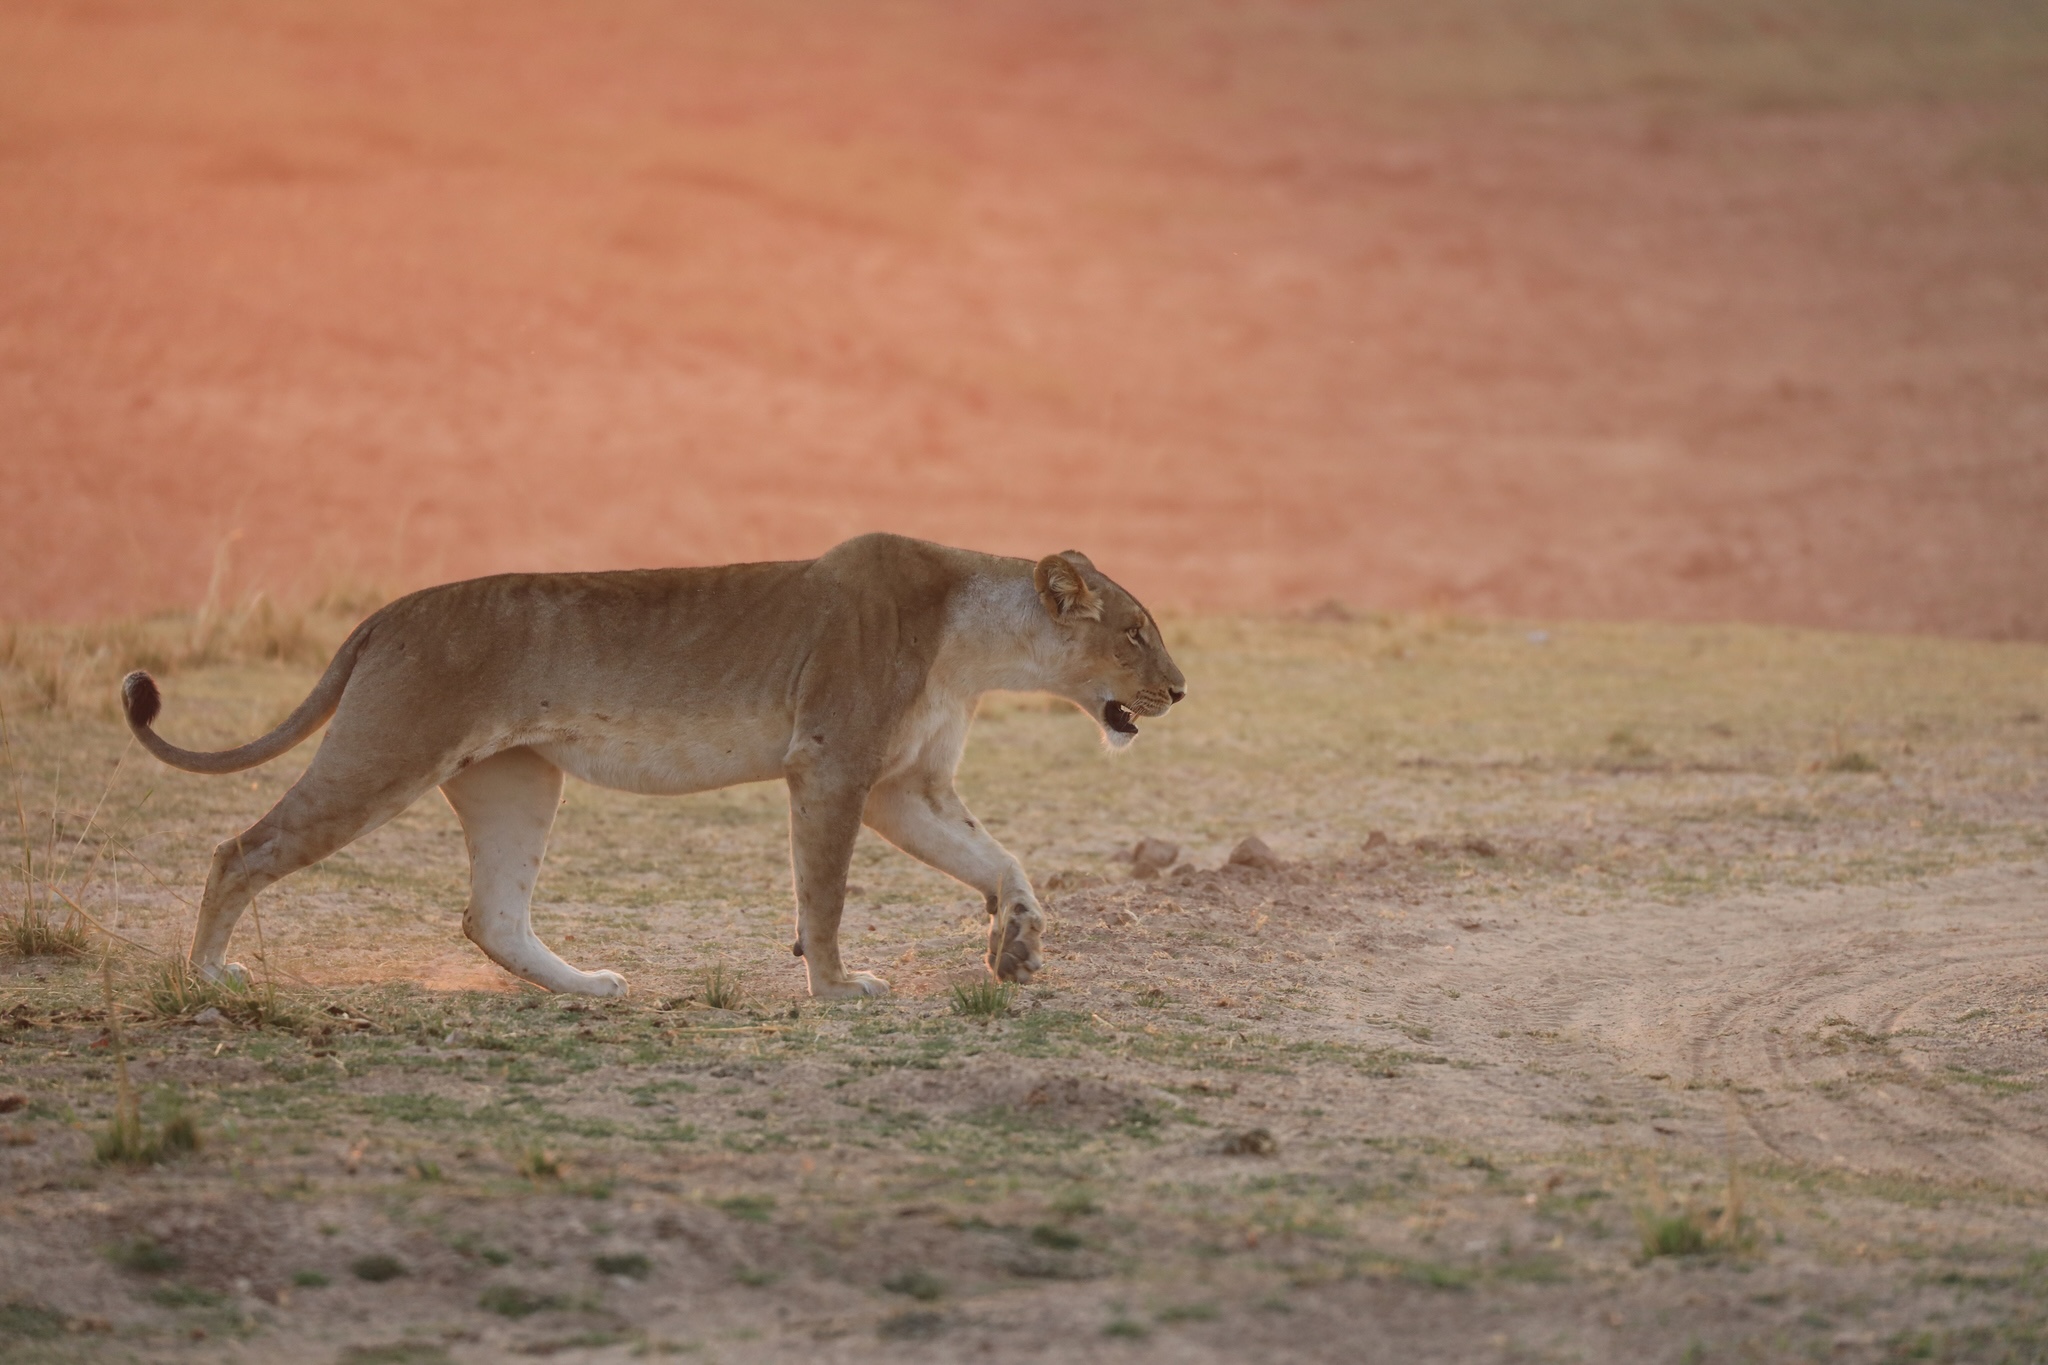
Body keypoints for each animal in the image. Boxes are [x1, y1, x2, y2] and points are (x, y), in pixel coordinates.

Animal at [121, 533, 1185, 999]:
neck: (975, 646)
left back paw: (589, 986)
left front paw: (1017, 945)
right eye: (1136, 631)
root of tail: (387, 611)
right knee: (239, 849)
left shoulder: (903, 789)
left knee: (492, 913)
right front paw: (838, 989)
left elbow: (1001, 859)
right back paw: (207, 973)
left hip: (518, 778)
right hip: (386, 751)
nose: (1180, 690)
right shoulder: (834, 766)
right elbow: (826, 894)